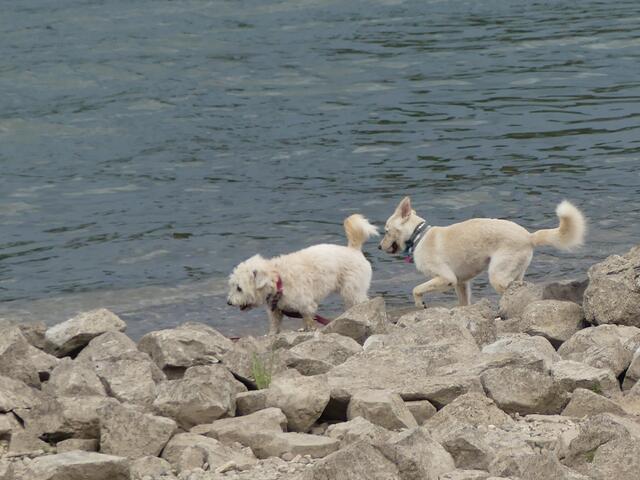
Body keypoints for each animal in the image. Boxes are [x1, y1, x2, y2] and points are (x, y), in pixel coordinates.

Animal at [227, 214, 378, 334]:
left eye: (239, 288)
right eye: (233, 286)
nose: (229, 302)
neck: (279, 280)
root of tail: (354, 250)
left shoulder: (306, 306)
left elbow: (308, 320)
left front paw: (307, 330)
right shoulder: (276, 311)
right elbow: (275, 325)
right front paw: (271, 335)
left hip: (353, 291)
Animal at [379, 197, 586, 308]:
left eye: (386, 230)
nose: (379, 247)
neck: (419, 236)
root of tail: (529, 236)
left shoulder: (446, 279)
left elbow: (416, 289)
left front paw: (419, 304)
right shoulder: (461, 283)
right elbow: (463, 303)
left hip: (497, 274)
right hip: (517, 272)